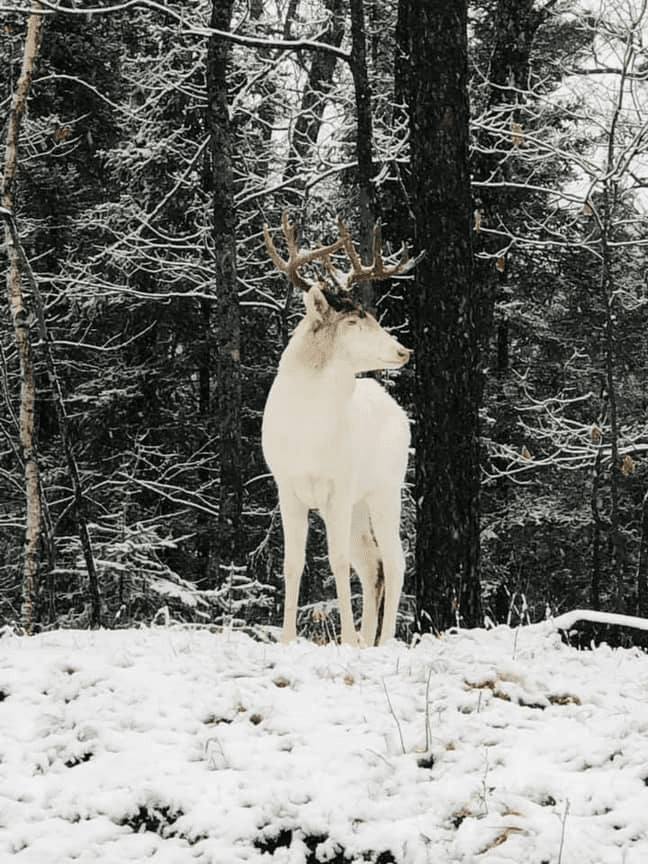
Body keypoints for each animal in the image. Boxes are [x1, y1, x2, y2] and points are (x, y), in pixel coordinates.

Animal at [260, 214, 422, 648]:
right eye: (352, 321)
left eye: (371, 317)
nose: (403, 351)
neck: (308, 434)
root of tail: (398, 412)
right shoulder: (287, 487)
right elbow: (293, 562)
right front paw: (287, 639)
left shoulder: (339, 485)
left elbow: (337, 560)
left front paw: (346, 638)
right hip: (360, 503)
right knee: (372, 563)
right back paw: (367, 640)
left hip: (385, 487)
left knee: (394, 560)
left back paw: (382, 640)